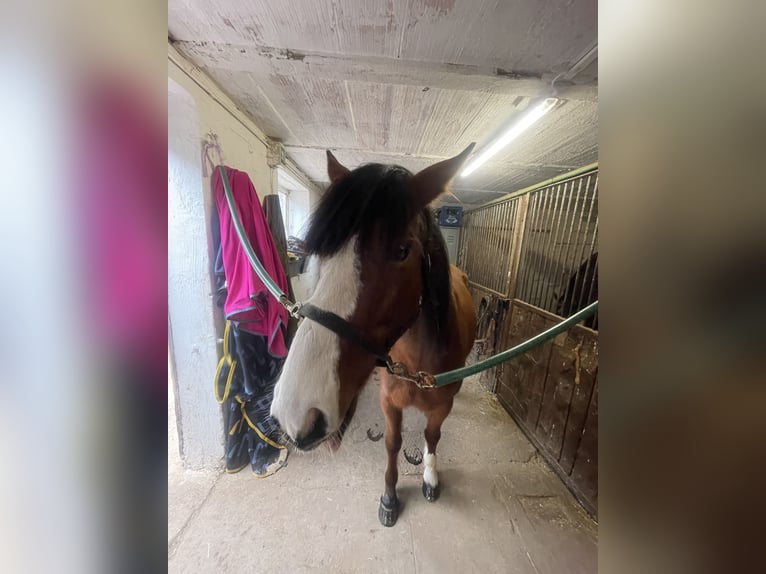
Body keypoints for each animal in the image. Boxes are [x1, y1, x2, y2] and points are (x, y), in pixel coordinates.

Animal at [270, 145, 477, 527]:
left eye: (401, 251)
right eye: (323, 253)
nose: (295, 413)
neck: (418, 363)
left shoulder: (443, 404)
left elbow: (432, 435)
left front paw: (430, 476)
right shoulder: (389, 400)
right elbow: (393, 443)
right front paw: (390, 496)